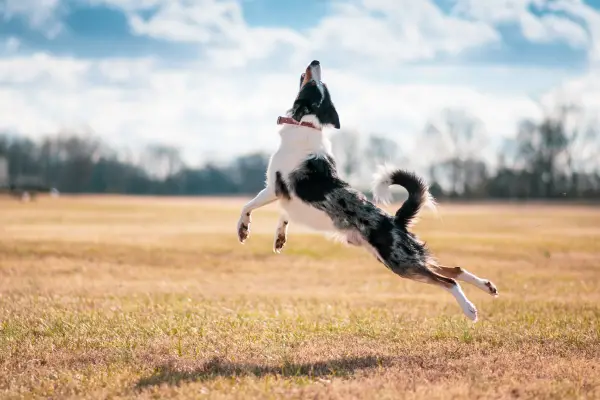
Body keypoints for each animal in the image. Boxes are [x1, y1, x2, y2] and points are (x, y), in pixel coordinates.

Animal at [234, 60, 496, 322]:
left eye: (315, 84)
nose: (316, 62)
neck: (306, 122)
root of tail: (396, 221)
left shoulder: (274, 187)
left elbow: (248, 206)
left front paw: (243, 230)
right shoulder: (288, 198)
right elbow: (284, 215)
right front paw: (280, 237)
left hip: (400, 262)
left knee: (448, 280)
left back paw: (470, 309)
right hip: (400, 258)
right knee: (453, 269)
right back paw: (487, 286)